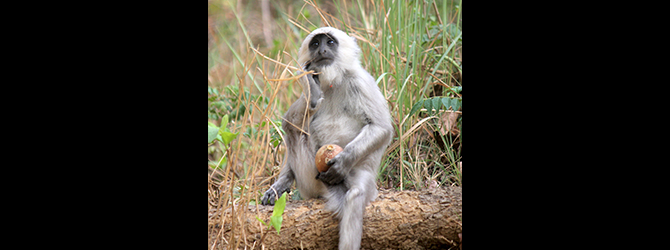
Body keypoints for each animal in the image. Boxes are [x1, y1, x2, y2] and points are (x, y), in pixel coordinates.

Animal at [258, 27, 394, 250]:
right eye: (315, 44)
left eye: (330, 42)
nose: (321, 50)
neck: (333, 81)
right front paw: (279, 185)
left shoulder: (361, 82)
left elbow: (380, 127)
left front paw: (341, 163)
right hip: (310, 183)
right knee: (291, 124)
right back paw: (313, 96)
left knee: (355, 196)